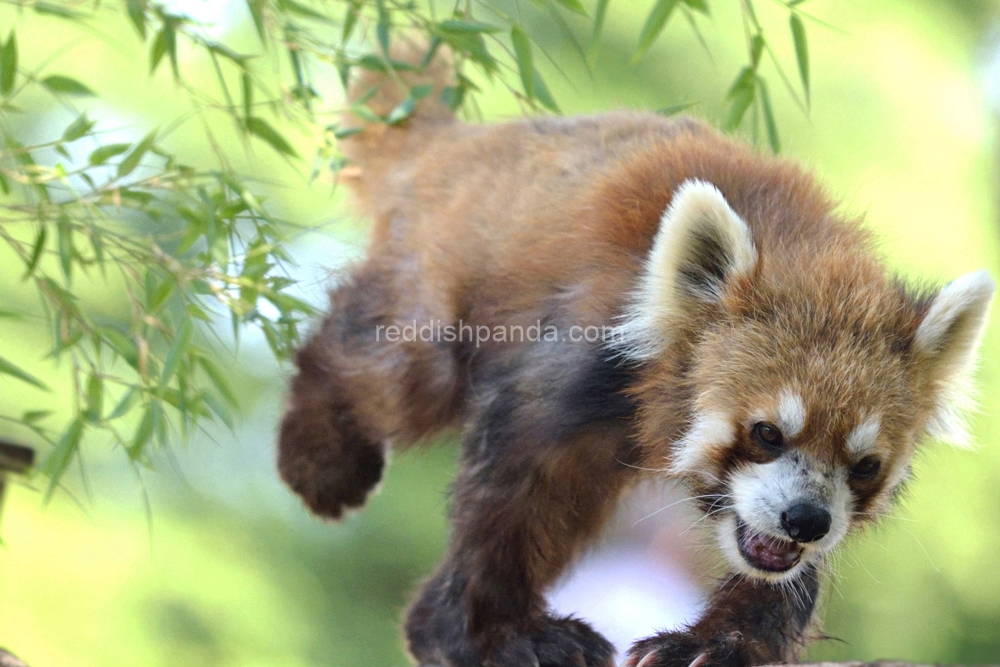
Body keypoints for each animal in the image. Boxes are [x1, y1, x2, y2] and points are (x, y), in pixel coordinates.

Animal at [276, 47, 992, 667]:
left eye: (865, 465)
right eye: (766, 432)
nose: (807, 519)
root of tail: (465, 142)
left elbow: (780, 578)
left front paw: (718, 646)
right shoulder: (574, 359)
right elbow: (512, 493)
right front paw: (482, 633)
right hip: (441, 284)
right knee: (391, 367)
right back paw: (322, 459)